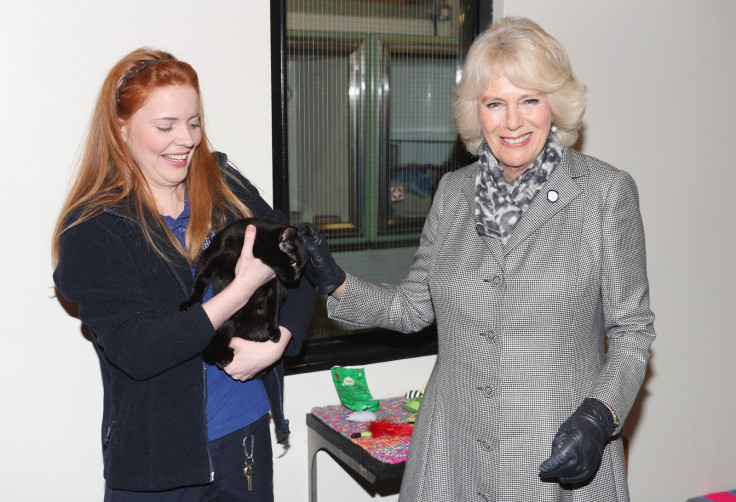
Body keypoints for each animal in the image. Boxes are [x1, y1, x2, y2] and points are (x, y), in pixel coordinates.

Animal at [181, 218, 308, 370]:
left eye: (301, 267)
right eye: (293, 262)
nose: (297, 277)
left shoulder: (274, 283)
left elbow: (274, 306)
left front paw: (274, 330)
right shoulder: (211, 257)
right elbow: (201, 279)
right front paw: (190, 303)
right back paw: (224, 357)